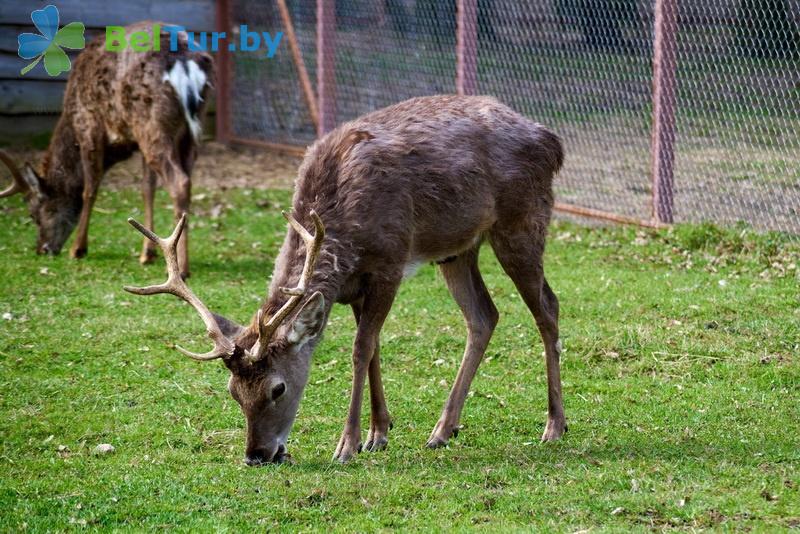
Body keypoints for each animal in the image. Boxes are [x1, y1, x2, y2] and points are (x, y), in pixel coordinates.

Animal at [0, 23, 212, 278]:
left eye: (33, 214)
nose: (42, 248)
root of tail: (184, 63)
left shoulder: (89, 125)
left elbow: (90, 188)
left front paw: (78, 248)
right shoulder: (134, 140)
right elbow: (147, 189)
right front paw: (147, 253)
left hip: (151, 122)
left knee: (180, 181)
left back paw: (183, 269)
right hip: (189, 130)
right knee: (186, 177)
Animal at [125, 93, 564, 464]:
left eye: (277, 388)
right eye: (234, 392)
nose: (256, 455)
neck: (341, 232)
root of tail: (552, 140)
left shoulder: (390, 261)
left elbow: (360, 349)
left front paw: (347, 445)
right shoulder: (353, 288)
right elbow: (374, 350)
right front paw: (378, 433)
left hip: (522, 220)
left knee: (548, 307)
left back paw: (554, 426)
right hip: (457, 249)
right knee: (484, 316)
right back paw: (443, 429)